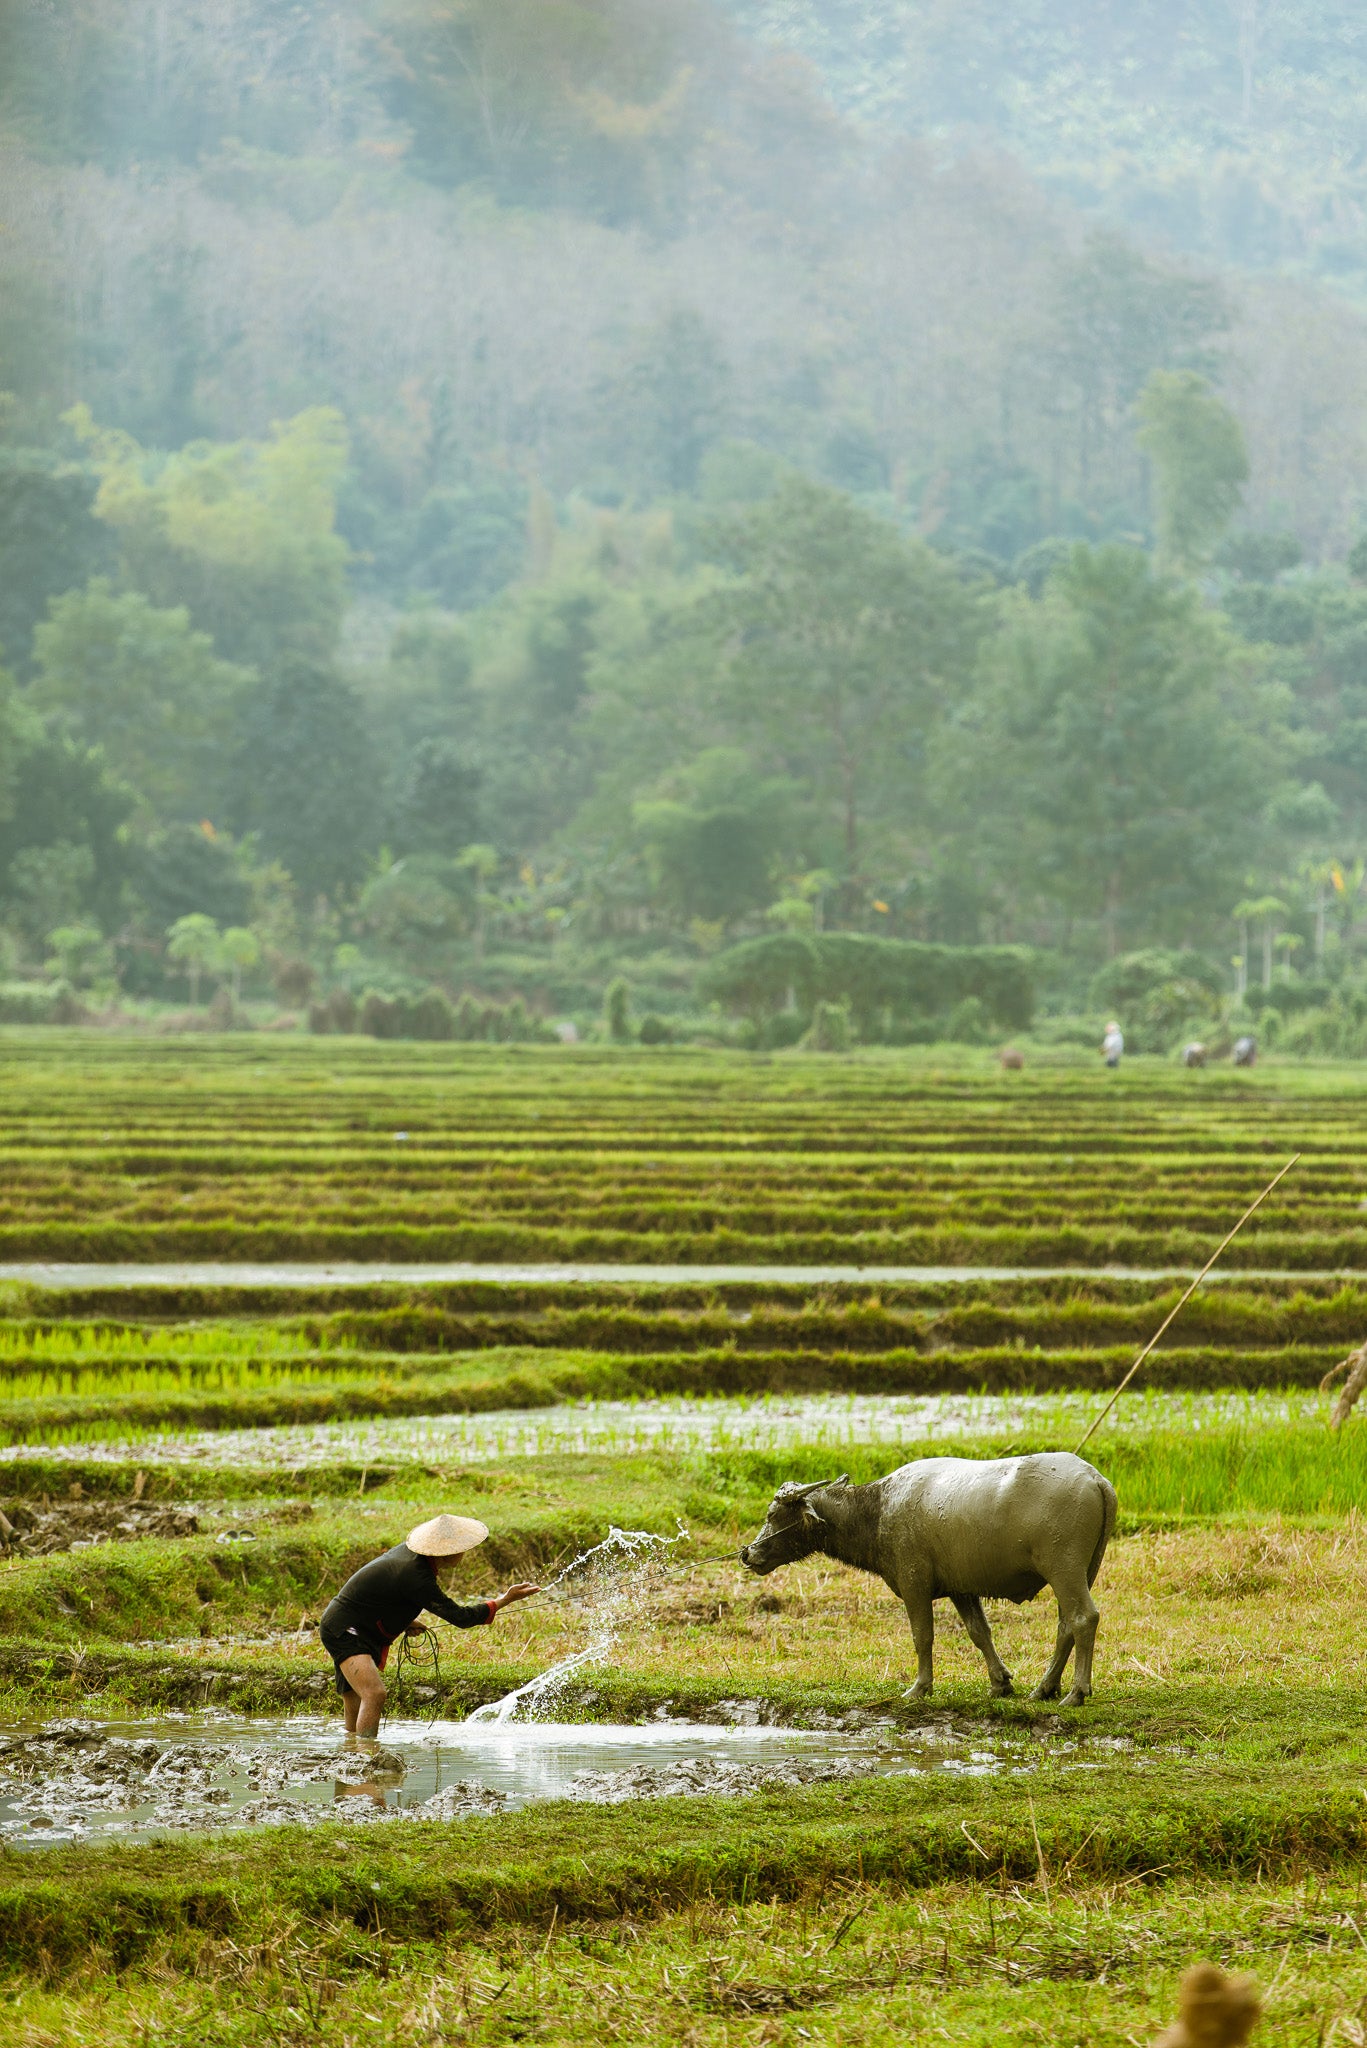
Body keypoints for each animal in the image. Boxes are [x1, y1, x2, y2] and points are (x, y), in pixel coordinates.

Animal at [741, 1458, 1114, 1712]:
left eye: (773, 1515)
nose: (748, 1553)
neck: (877, 1511)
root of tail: (1095, 1479)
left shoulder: (914, 1584)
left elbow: (923, 1637)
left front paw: (919, 1687)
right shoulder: (962, 1589)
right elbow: (979, 1632)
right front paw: (1000, 1683)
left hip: (1064, 1568)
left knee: (1083, 1618)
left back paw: (1076, 1692)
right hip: (1083, 1571)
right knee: (1066, 1625)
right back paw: (1044, 1688)